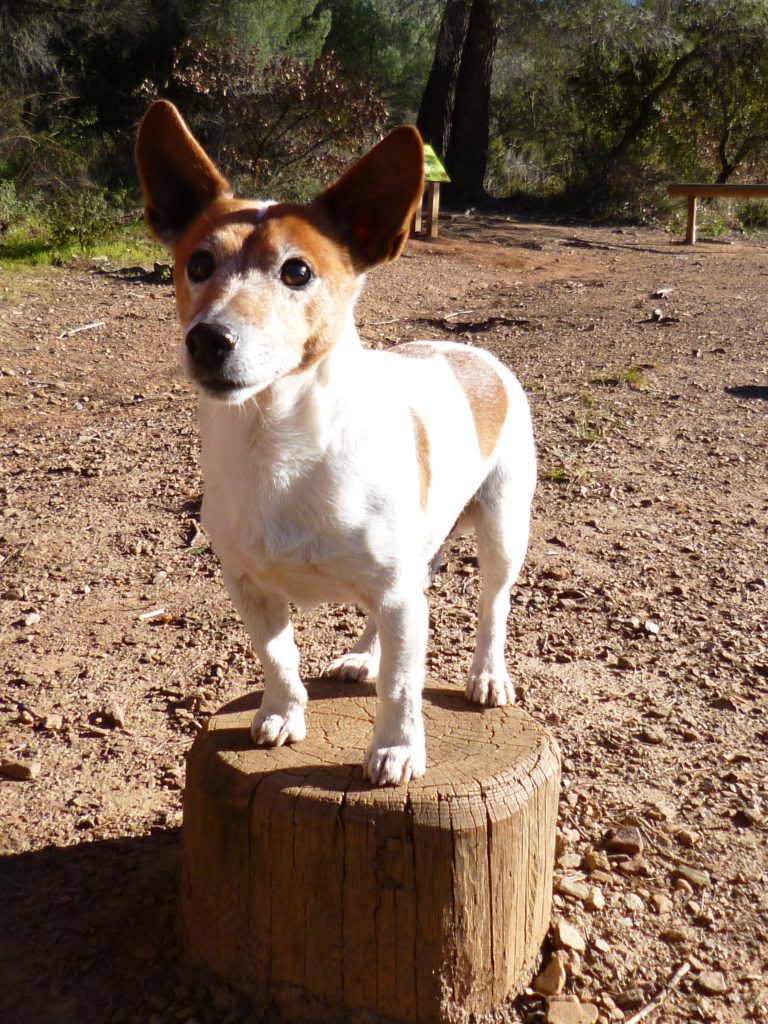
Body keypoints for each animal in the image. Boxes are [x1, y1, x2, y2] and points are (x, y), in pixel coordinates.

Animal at [135, 101, 536, 782]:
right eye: (198, 264)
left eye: (297, 270)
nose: (208, 339)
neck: (278, 443)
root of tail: (470, 350)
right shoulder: (250, 585)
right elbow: (277, 656)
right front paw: (281, 712)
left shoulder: (401, 595)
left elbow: (402, 685)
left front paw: (397, 748)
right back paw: (362, 656)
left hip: (504, 530)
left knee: (493, 607)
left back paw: (487, 675)